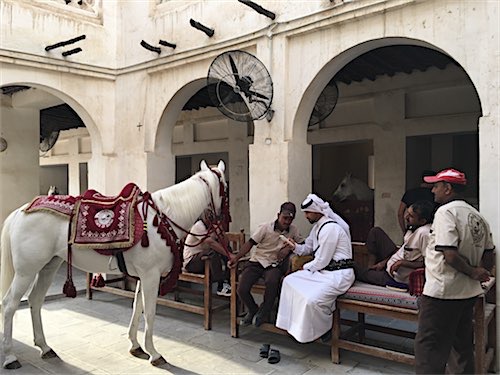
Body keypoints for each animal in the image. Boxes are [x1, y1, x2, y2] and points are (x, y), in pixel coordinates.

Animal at [0, 159, 227, 370]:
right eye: (226, 187)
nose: (225, 222)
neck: (163, 218)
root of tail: (19, 212)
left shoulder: (143, 276)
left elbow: (137, 307)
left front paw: (136, 346)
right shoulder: (151, 276)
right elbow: (150, 312)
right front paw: (154, 353)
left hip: (48, 266)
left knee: (35, 300)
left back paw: (45, 347)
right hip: (26, 271)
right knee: (9, 305)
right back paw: (10, 357)